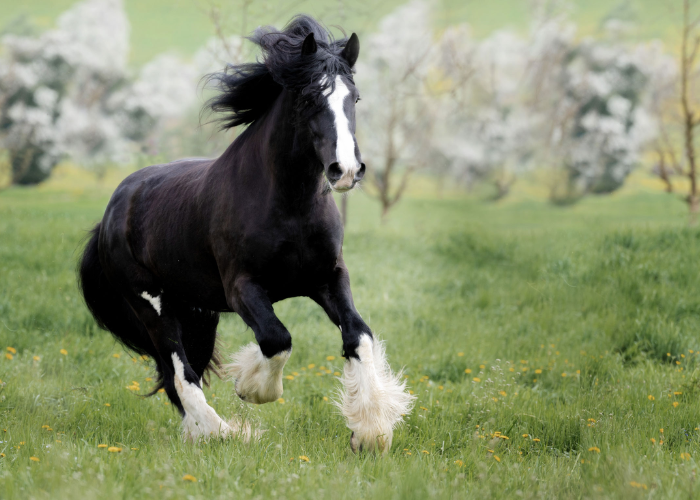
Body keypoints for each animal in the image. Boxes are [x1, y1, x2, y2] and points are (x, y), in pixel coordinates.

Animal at [77, 15, 414, 453]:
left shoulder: (328, 277)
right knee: (180, 369)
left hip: (197, 310)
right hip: (152, 303)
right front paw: (251, 387)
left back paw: (203, 431)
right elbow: (276, 338)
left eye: (354, 99)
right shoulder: (242, 287)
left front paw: (370, 430)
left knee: (177, 373)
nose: (346, 170)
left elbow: (358, 335)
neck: (289, 206)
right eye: (309, 98)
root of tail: (113, 211)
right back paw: (220, 431)